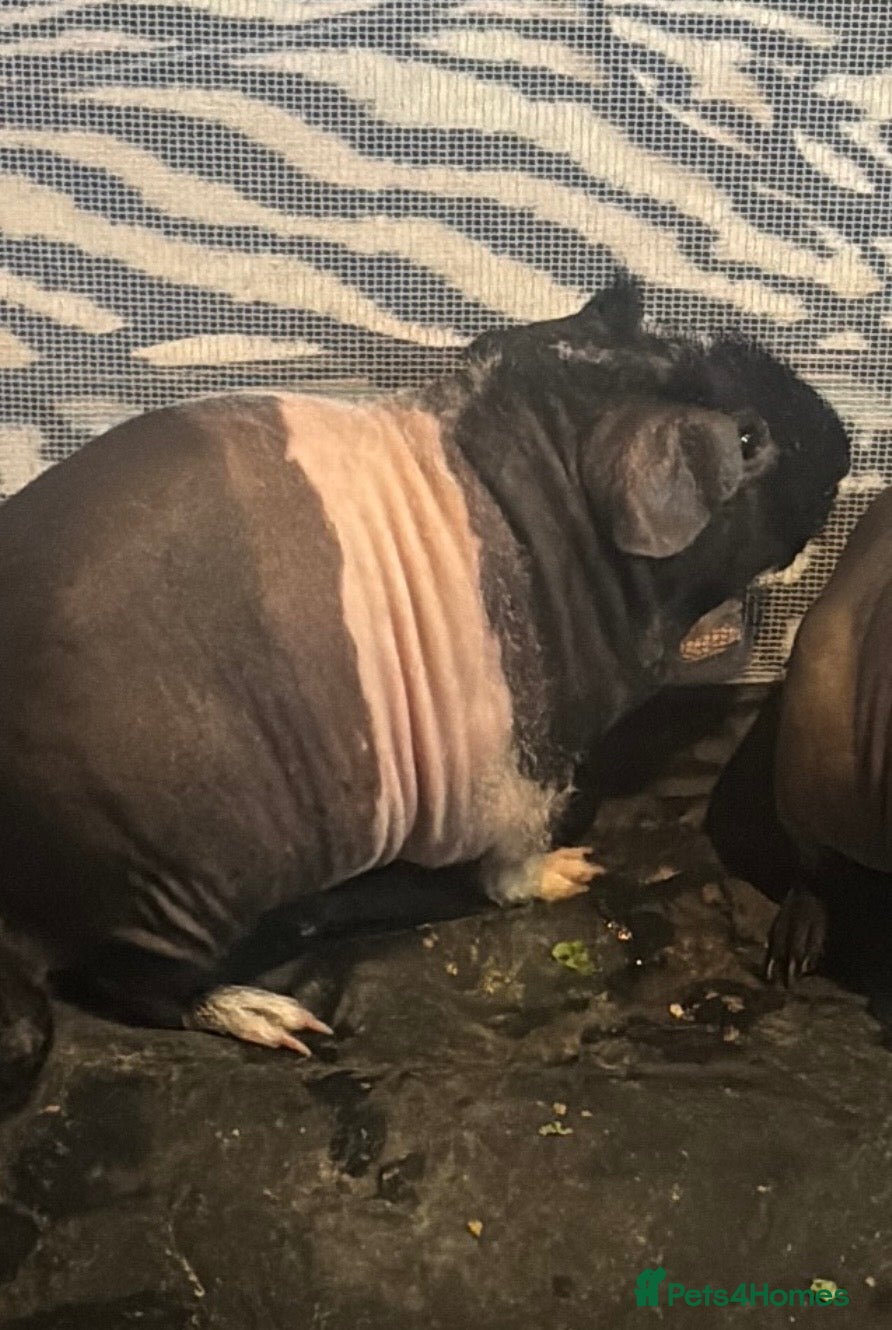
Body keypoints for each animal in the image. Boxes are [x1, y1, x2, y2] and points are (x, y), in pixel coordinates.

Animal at [0, 277, 849, 1110]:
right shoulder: (526, 777)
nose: (842, 441)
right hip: (170, 900)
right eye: (748, 442)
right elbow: (511, 870)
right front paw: (580, 869)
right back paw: (277, 1016)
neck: (550, 520)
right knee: (131, 986)